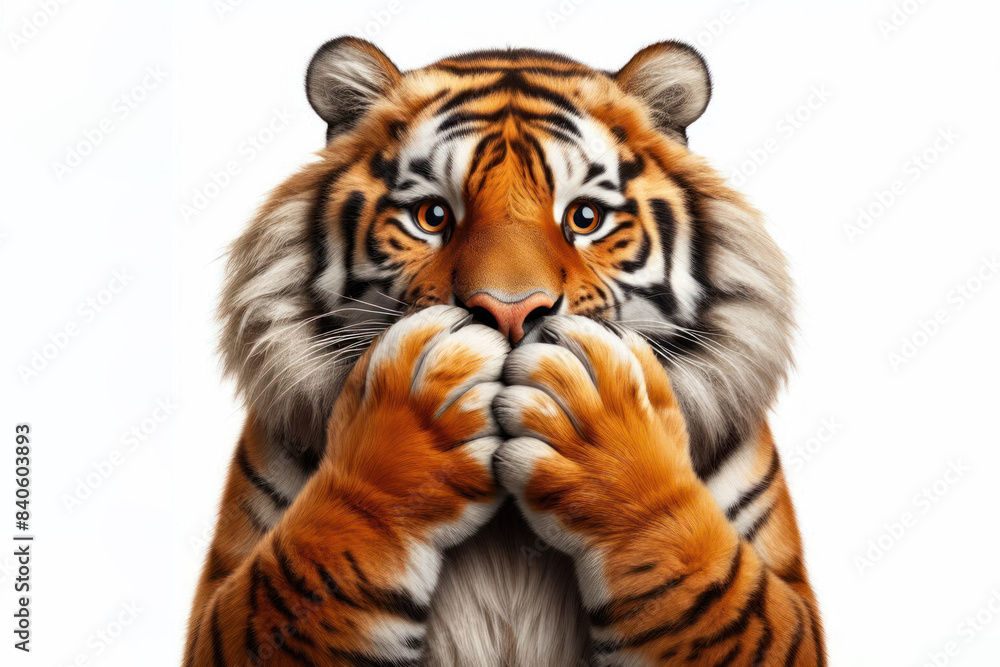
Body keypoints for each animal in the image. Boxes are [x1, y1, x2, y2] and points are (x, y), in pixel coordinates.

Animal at [184, 37, 826, 666]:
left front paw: (604, 437)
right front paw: (420, 417)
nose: (511, 312)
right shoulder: (225, 605)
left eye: (585, 218)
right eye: (432, 216)